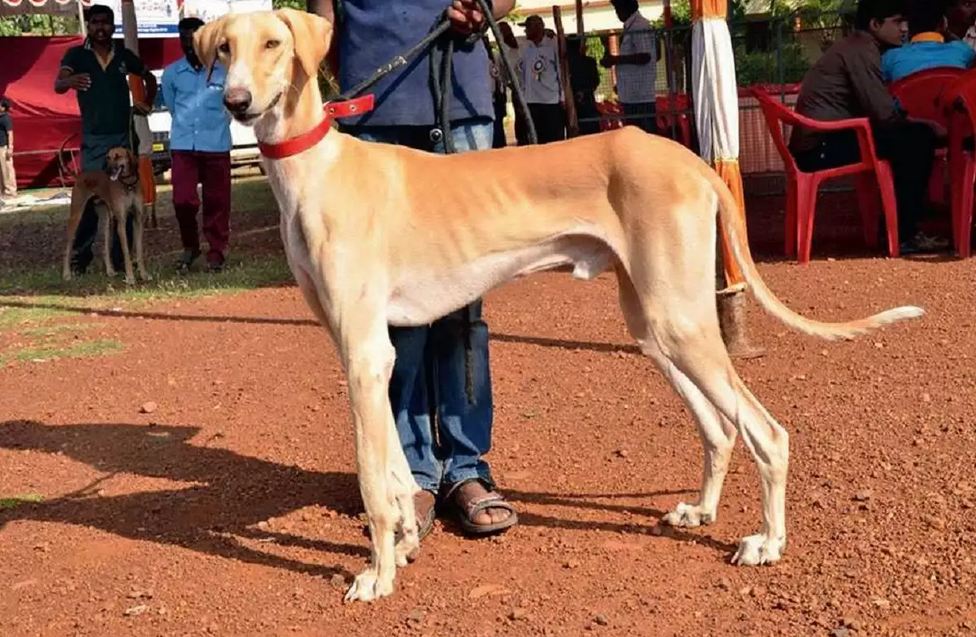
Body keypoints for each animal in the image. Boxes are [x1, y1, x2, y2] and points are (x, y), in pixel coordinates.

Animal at [62, 148, 150, 284]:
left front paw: (144, 275)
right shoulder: (121, 222)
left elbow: (139, 251)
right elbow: (126, 252)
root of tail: (80, 176)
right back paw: (67, 274)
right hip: (76, 215)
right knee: (68, 245)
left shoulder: (138, 220)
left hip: (107, 219)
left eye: (118, 156)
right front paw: (130, 277)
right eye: (108, 157)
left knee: (106, 246)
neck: (128, 185)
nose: (108, 171)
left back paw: (110, 271)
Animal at [193, 7, 924, 600]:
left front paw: (377, 576)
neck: (315, 169)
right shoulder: (372, 352)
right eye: (224, 47)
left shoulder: (364, 353)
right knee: (719, 429)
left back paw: (768, 542)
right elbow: (398, 473)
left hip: (680, 322)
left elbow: (374, 479)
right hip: (654, 325)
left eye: (274, 44)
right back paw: (701, 511)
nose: (237, 102)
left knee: (766, 432)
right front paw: (403, 544)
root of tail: (693, 161)